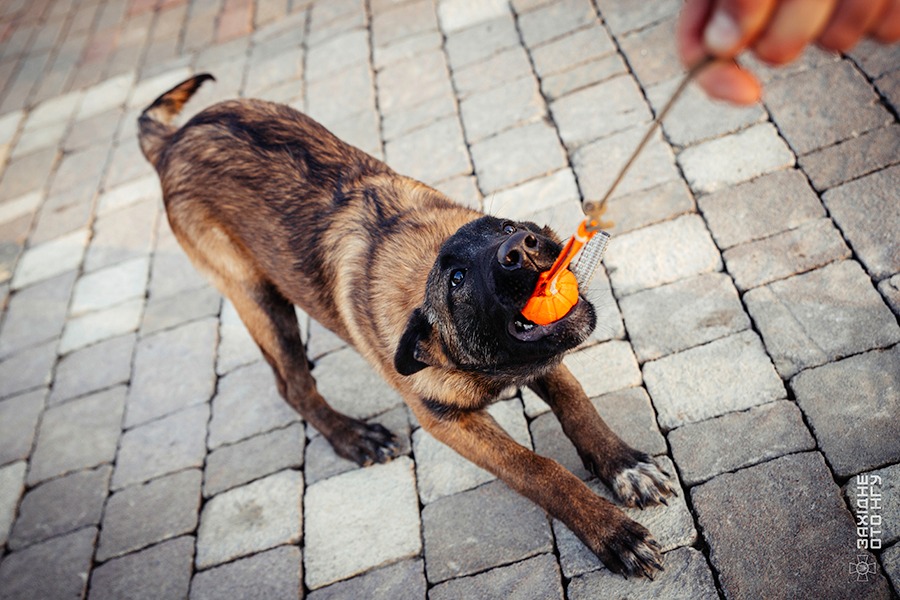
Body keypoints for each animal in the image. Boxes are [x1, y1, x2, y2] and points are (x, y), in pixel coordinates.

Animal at [139, 74, 676, 576]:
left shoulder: (542, 355)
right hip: (257, 296)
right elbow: (538, 470)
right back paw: (352, 436)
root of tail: (175, 138)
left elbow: (578, 404)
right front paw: (611, 531)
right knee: (293, 386)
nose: (520, 247)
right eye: (457, 279)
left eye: (506, 228)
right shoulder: (446, 422)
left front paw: (623, 465)